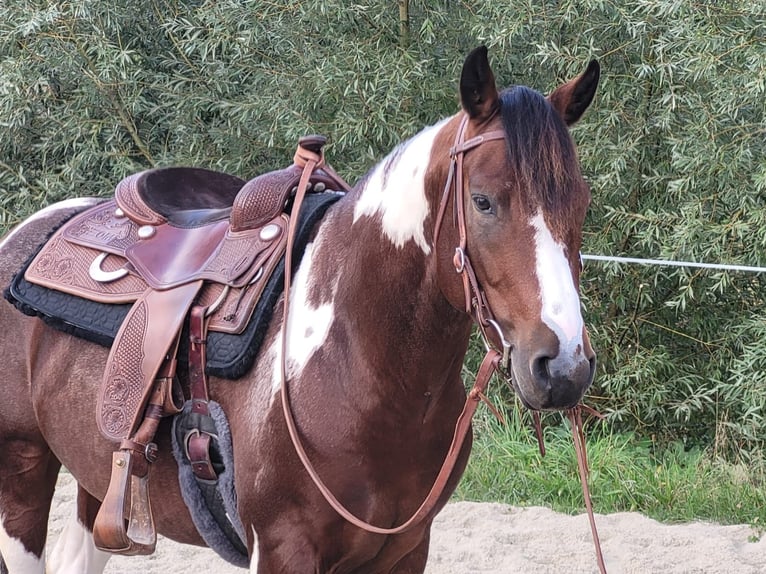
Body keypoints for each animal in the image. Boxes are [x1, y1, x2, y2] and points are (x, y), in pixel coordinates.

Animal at [0, 46, 600, 574]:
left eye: (583, 202)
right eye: (483, 201)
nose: (563, 366)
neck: (362, 365)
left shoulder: (406, 549)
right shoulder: (283, 548)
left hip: (95, 478)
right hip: (22, 472)